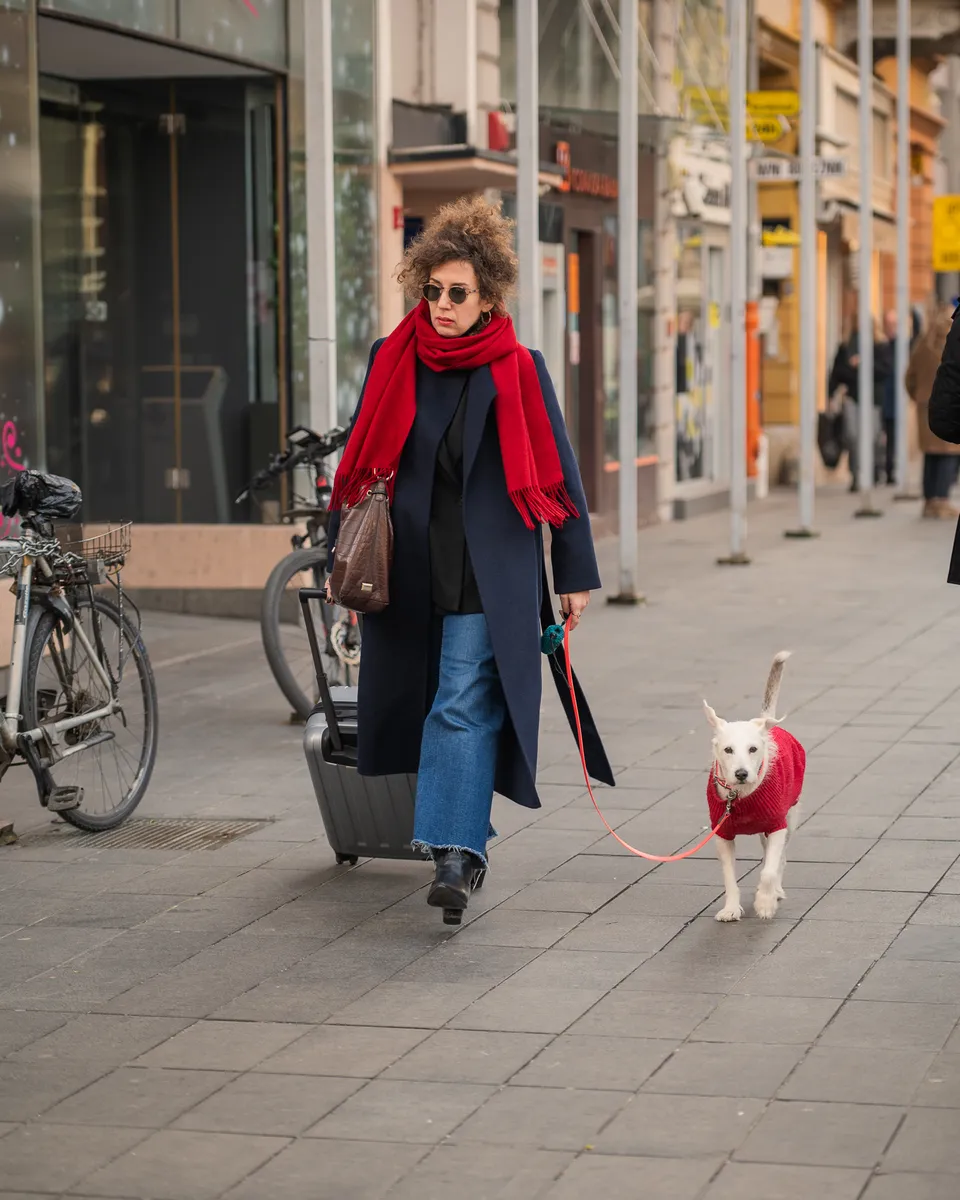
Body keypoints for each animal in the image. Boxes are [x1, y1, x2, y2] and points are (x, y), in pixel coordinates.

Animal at [700, 652, 806, 921]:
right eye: (728, 750)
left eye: (753, 749)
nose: (741, 773)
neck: (740, 795)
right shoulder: (723, 834)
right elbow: (729, 877)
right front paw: (730, 908)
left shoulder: (777, 826)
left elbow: (769, 870)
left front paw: (765, 903)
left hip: (790, 818)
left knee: (779, 859)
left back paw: (774, 891)